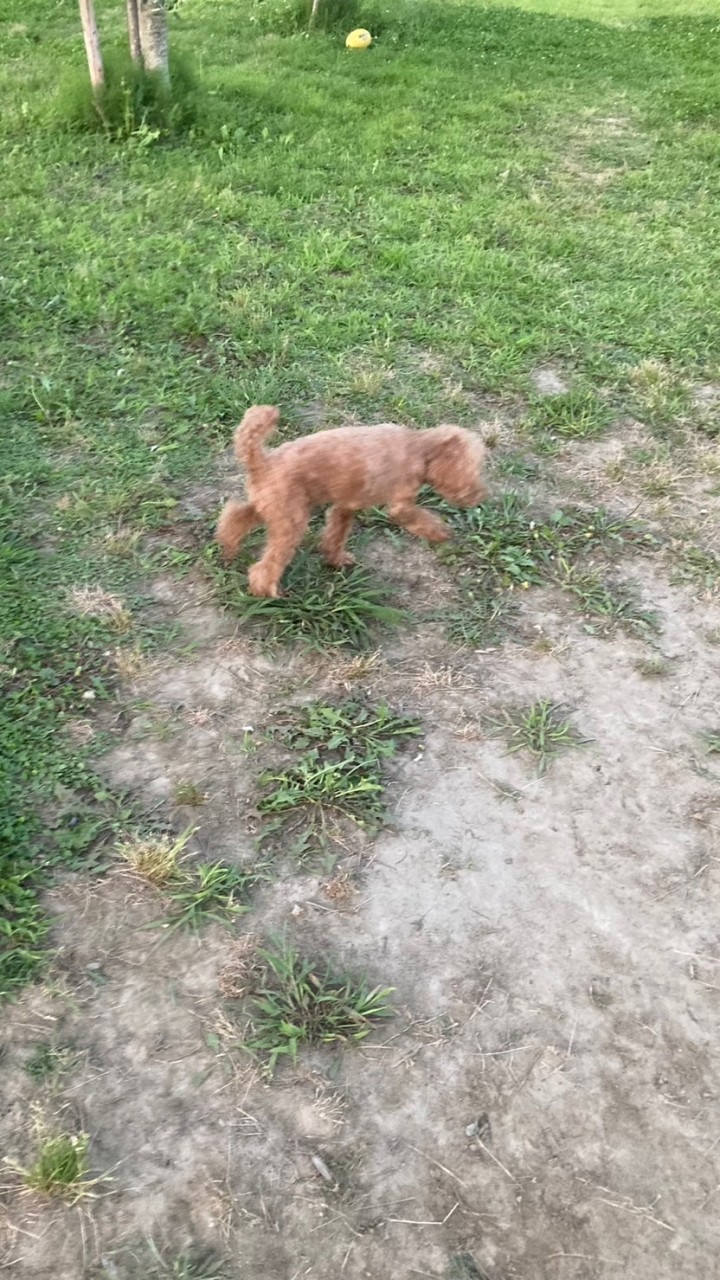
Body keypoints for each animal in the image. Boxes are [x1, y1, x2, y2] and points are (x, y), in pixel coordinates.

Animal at [215, 404, 484, 599]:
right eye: (472, 470)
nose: (479, 495)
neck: (418, 445)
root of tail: (262, 461)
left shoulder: (345, 505)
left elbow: (337, 532)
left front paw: (336, 559)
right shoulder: (401, 502)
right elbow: (414, 517)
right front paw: (441, 533)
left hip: (271, 506)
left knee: (235, 517)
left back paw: (228, 548)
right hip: (291, 521)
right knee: (266, 565)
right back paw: (268, 592)